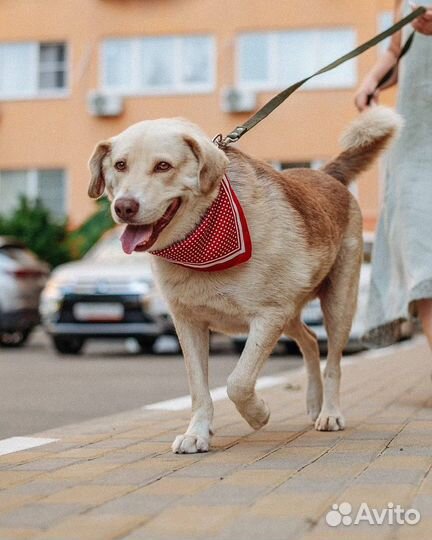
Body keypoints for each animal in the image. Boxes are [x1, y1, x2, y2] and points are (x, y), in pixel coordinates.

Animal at [88, 107, 402, 454]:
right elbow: (198, 388)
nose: (124, 207)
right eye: (120, 165)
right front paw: (197, 433)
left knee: (332, 361)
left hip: (337, 304)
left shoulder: (268, 316)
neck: (202, 237)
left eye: (163, 166)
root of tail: (326, 174)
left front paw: (258, 414)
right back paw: (313, 402)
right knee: (308, 339)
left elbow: (238, 382)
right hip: (291, 312)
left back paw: (329, 412)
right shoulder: (188, 322)